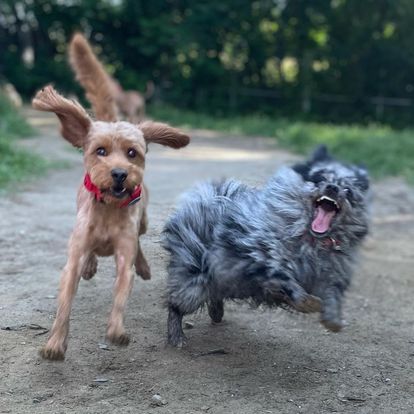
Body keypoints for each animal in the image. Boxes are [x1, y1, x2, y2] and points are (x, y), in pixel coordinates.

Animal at [162, 146, 368, 346]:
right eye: (320, 178)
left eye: (348, 190)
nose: (333, 188)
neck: (312, 241)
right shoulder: (258, 255)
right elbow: (285, 279)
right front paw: (307, 301)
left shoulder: (331, 274)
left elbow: (332, 294)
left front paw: (333, 319)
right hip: (194, 280)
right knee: (176, 303)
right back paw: (176, 336)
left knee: (214, 294)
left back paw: (216, 313)